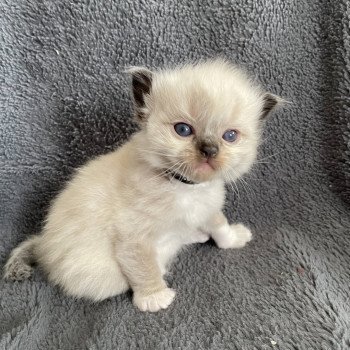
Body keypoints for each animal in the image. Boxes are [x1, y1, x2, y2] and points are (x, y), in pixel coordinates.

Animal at [3, 59, 282, 312]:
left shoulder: (208, 208)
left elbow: (220, 227)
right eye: (183, 130)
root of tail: (43, 244)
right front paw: (154, 297)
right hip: (104, 276)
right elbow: (143, 266)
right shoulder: (133, 235)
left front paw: (234, 238)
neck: (185, 187)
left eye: (230, 136)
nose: (209, 150)